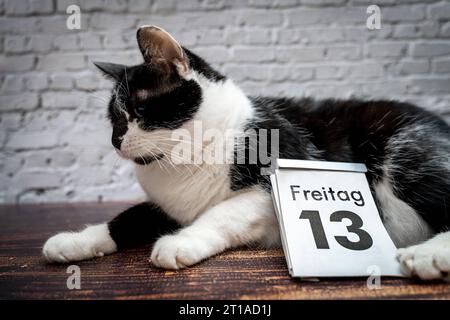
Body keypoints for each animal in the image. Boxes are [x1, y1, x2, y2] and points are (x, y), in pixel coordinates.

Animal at [43, 25, 450, 280]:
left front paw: (181, 241)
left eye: (138, 111)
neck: (186, 159)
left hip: (409, 154)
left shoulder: (278, 181)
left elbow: (223, 214)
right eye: (113, 118)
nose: (115, 140)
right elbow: (126, 218)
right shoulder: (166, 204)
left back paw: (429, 254)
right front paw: (74, 241)